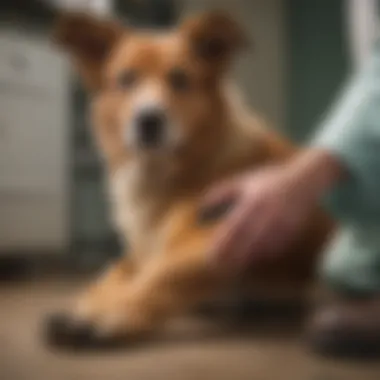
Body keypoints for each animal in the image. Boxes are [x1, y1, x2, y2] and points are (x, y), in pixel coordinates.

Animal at [46, 10, 334, 348]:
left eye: (180, 79)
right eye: (126, 79)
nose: (148, 121)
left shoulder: (216, 236)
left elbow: (160, 276)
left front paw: (104, 315)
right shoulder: (141, 251)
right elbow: (113, 273)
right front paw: (89, 301)